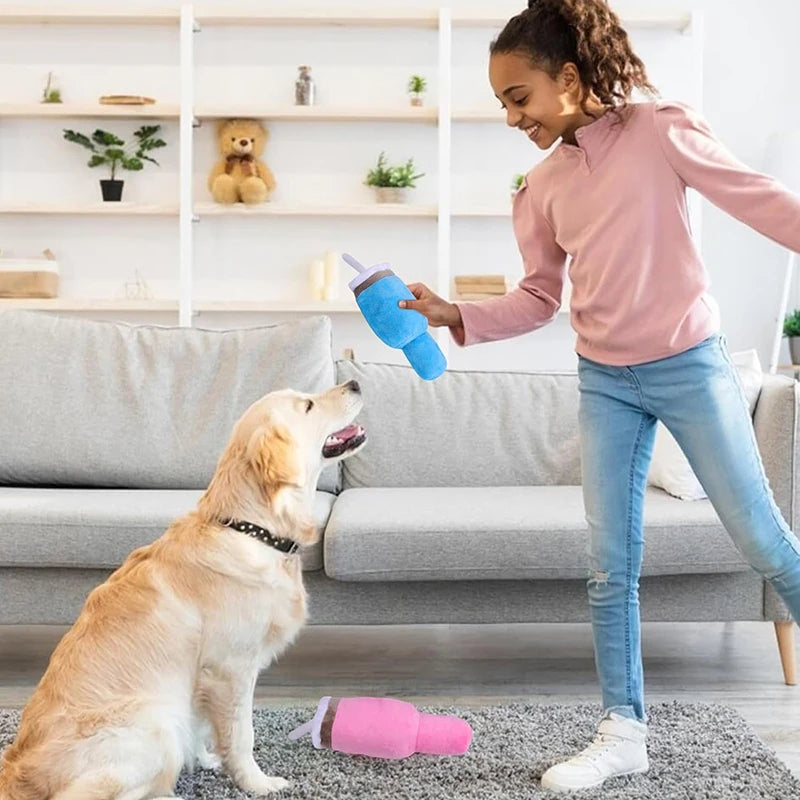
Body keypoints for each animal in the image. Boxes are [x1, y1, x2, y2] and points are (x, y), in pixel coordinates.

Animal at [0, 380, 368, 800]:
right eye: (307, 405)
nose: (354, 383)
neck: (250, 529)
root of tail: (16, 773)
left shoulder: (200, 679)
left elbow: (203, 726)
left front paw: (208, 758)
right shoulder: (230, 668)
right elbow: (241, 735)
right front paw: (257, 783)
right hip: (153, 725)